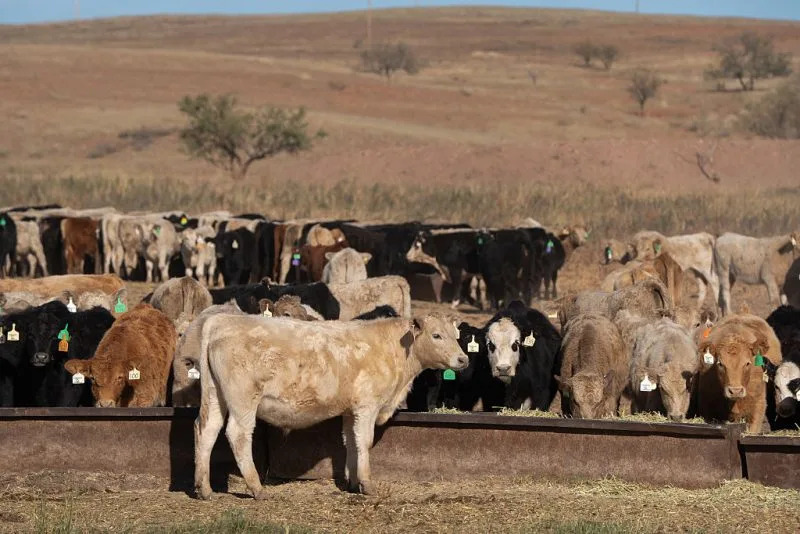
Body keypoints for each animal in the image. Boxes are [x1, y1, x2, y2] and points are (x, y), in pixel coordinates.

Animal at [193, 312, 468, 499]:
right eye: (436, 335)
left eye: (456, 336)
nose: (463, 359)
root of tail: (222, 319)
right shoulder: (367, 406)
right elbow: (364, 441)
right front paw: (367, 484)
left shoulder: (350, 410)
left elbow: (351, 442)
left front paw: (353, 482)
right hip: (243, 401)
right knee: (238, 435)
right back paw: (256, 488)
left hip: (215, 396)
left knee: (206, 431)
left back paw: (204, 488)